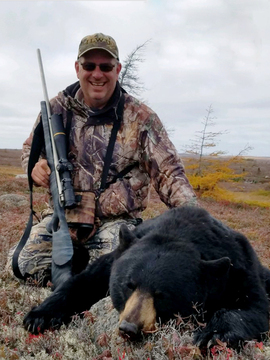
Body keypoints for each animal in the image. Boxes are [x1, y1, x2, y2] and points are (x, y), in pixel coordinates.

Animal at [23, 207, 270, 348]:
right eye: (128, 285)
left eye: (162, 295)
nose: (129, 328)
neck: (180, 232)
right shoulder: (116, 257)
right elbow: (84, 282)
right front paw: (39, 316)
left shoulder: (238, 269)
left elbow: (255, 308)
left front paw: (213, 335)